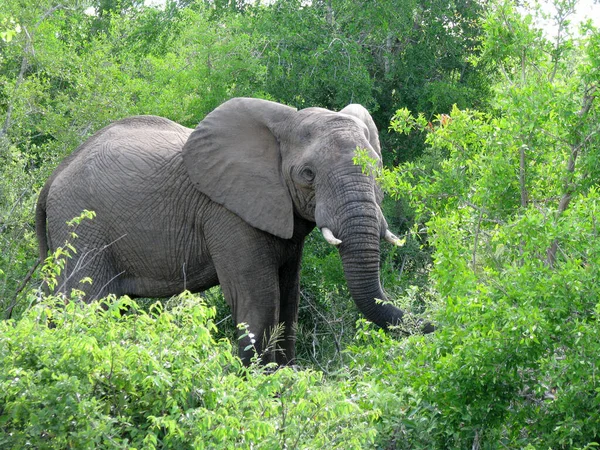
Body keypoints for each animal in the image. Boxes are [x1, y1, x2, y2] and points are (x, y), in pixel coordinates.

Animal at [35, 96, 434, 364]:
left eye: (377, 169)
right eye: (307, 175)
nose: (434, 324)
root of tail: (52, 179)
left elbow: (289, 301)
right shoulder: (227, 214)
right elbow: (260, 300)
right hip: (81, 228)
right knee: (86, 306)